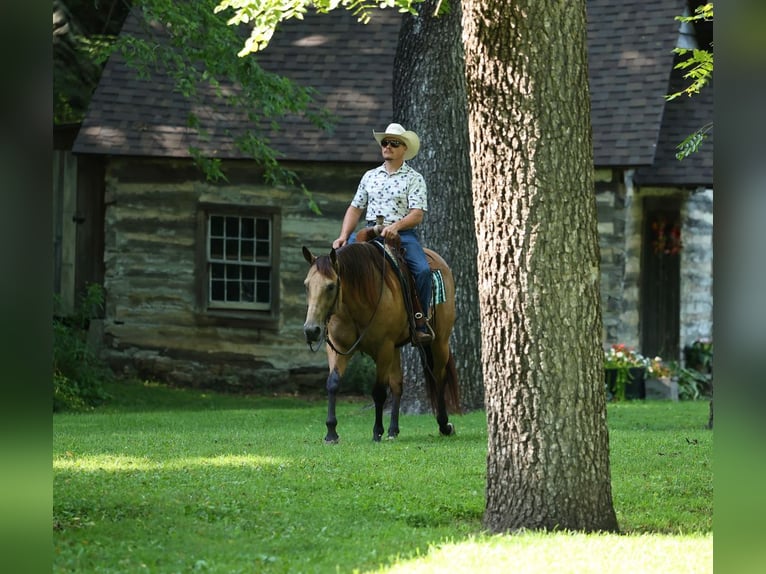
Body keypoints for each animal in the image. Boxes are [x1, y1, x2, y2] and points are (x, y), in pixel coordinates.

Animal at [302, 240, 461, 443]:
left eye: (330, 286)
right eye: (307, 285)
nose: (311, 330)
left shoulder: (383, 348)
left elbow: (378, 391)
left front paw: (377, 431)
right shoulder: (339, 348)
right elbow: (333, 383)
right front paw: (331, 432)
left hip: (439, 342)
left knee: (439, 377)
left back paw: (444, 424)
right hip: (396, 348)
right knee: (398, 385)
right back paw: (393, 430)